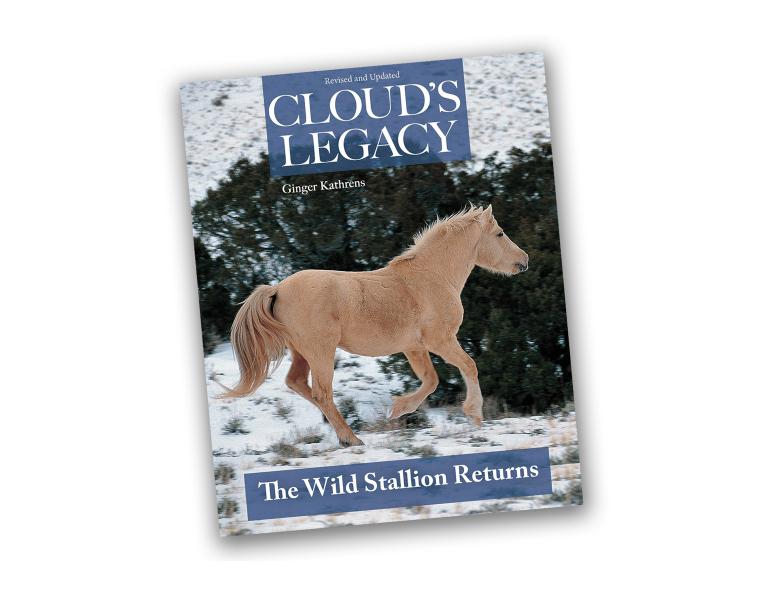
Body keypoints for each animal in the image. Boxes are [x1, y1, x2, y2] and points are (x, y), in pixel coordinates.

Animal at [224, 205, 529, 446]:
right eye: (500, 233)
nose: (524, 261)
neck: (433, 277)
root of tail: (278, 289)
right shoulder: (440, 341)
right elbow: (468, 366)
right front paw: (474, 415)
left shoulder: (414, 348)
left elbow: (431, 380)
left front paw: (397, 410)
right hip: (321, 351)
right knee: (322, 393)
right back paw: (351, 439)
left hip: (301, 351)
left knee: (298, 383)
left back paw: (344, 434)